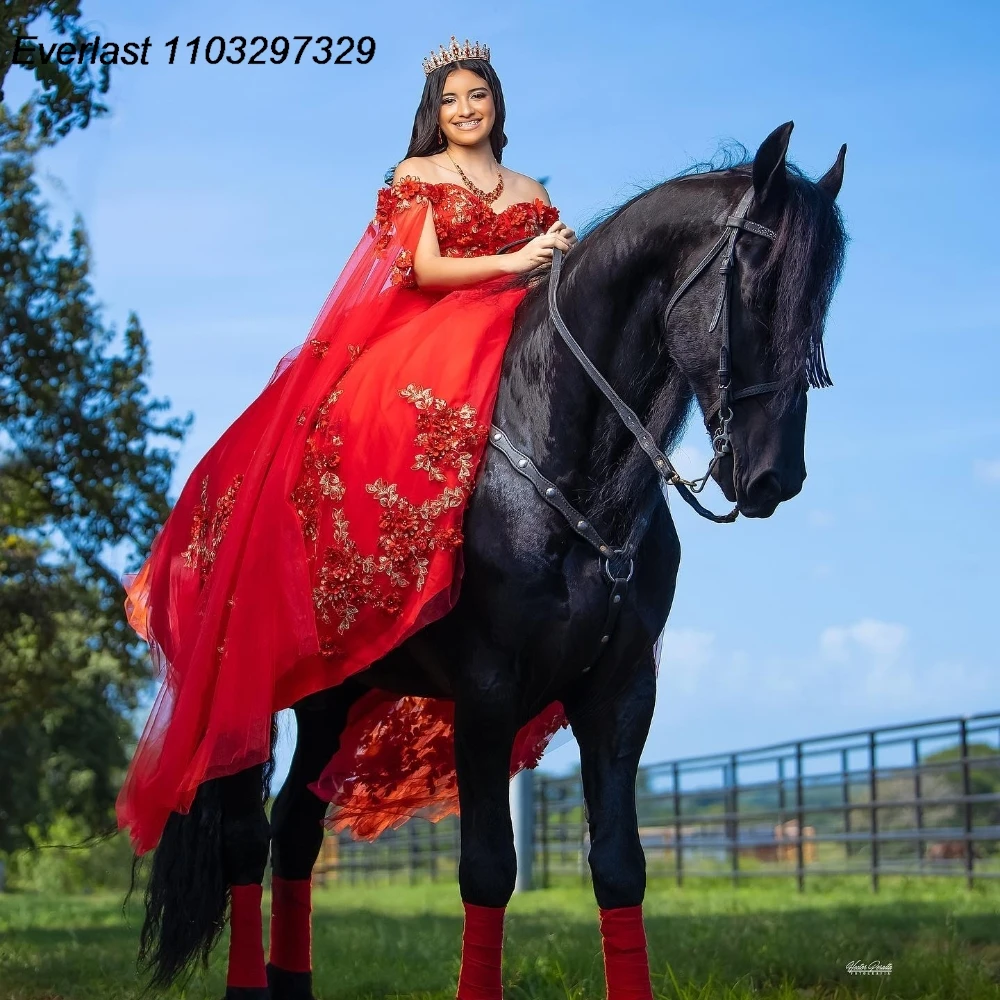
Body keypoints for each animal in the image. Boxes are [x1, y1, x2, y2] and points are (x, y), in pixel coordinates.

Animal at [137, 121, 848, 996]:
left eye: (817, 312)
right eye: (754, 288)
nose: (774, 476)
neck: (566, 471)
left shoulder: (620, 690)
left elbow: (620, 868)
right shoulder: (486, 690)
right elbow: (487, 870)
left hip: (333, 697)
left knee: (295, 831)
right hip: (240, 695)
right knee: (244, 836)